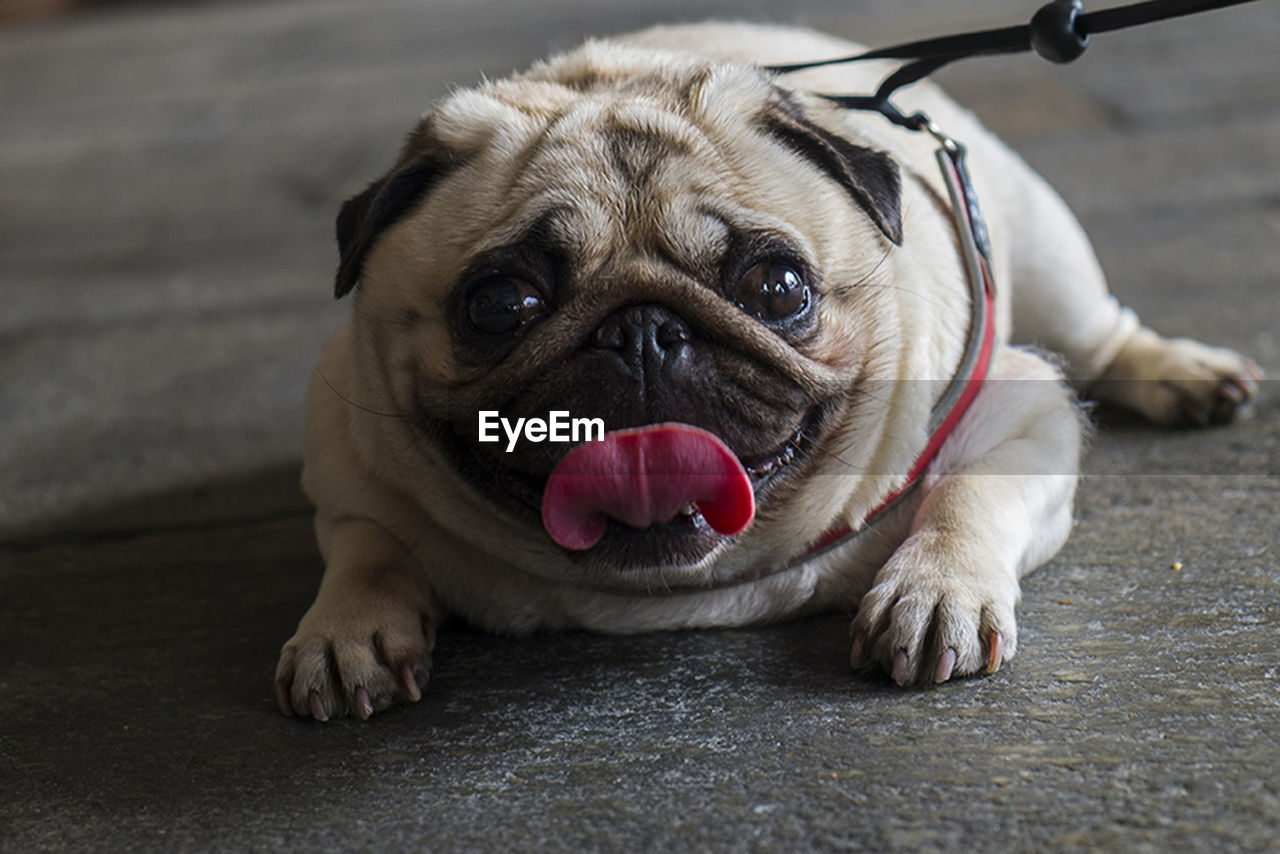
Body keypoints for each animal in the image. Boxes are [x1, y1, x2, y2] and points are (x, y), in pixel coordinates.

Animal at [272, 21, 1259, 722]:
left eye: (778, 288)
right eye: (500, 303)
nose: (641, 331)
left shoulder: (1023, 416)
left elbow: (970, 494)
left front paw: (936, 589)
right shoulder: (347, 463)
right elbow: (368, 544)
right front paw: (348, 629)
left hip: (1048, 252)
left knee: (1101, 335)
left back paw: (1181, 373)